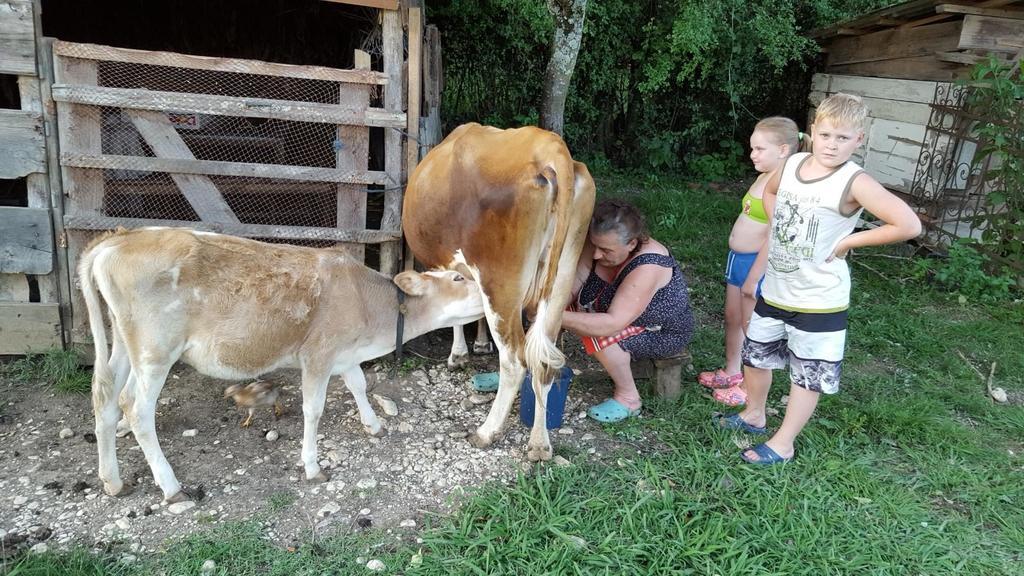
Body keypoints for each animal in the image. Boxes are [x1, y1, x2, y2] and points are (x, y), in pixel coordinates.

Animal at [77, 224, 485, 498]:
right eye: (457, 277)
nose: (492, 292)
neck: (371, 310)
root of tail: (119, 238)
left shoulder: (344, 353)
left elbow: (358, 385)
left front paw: (373, 425)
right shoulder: (318, 353)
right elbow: (313, 409)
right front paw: (312, 466)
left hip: (124, 345)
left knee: (105, 397)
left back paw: (112, 480)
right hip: (155, 350)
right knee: (135, 406)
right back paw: (171, 485)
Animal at [399, 123, 593, 459]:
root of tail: (548, 145)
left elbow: (454, 311)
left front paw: (459, 354)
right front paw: (478, 344)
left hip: (500, 283)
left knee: (515, 360)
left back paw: (486, 432)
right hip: (562, 275)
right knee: (543, 361)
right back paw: (539, 443)